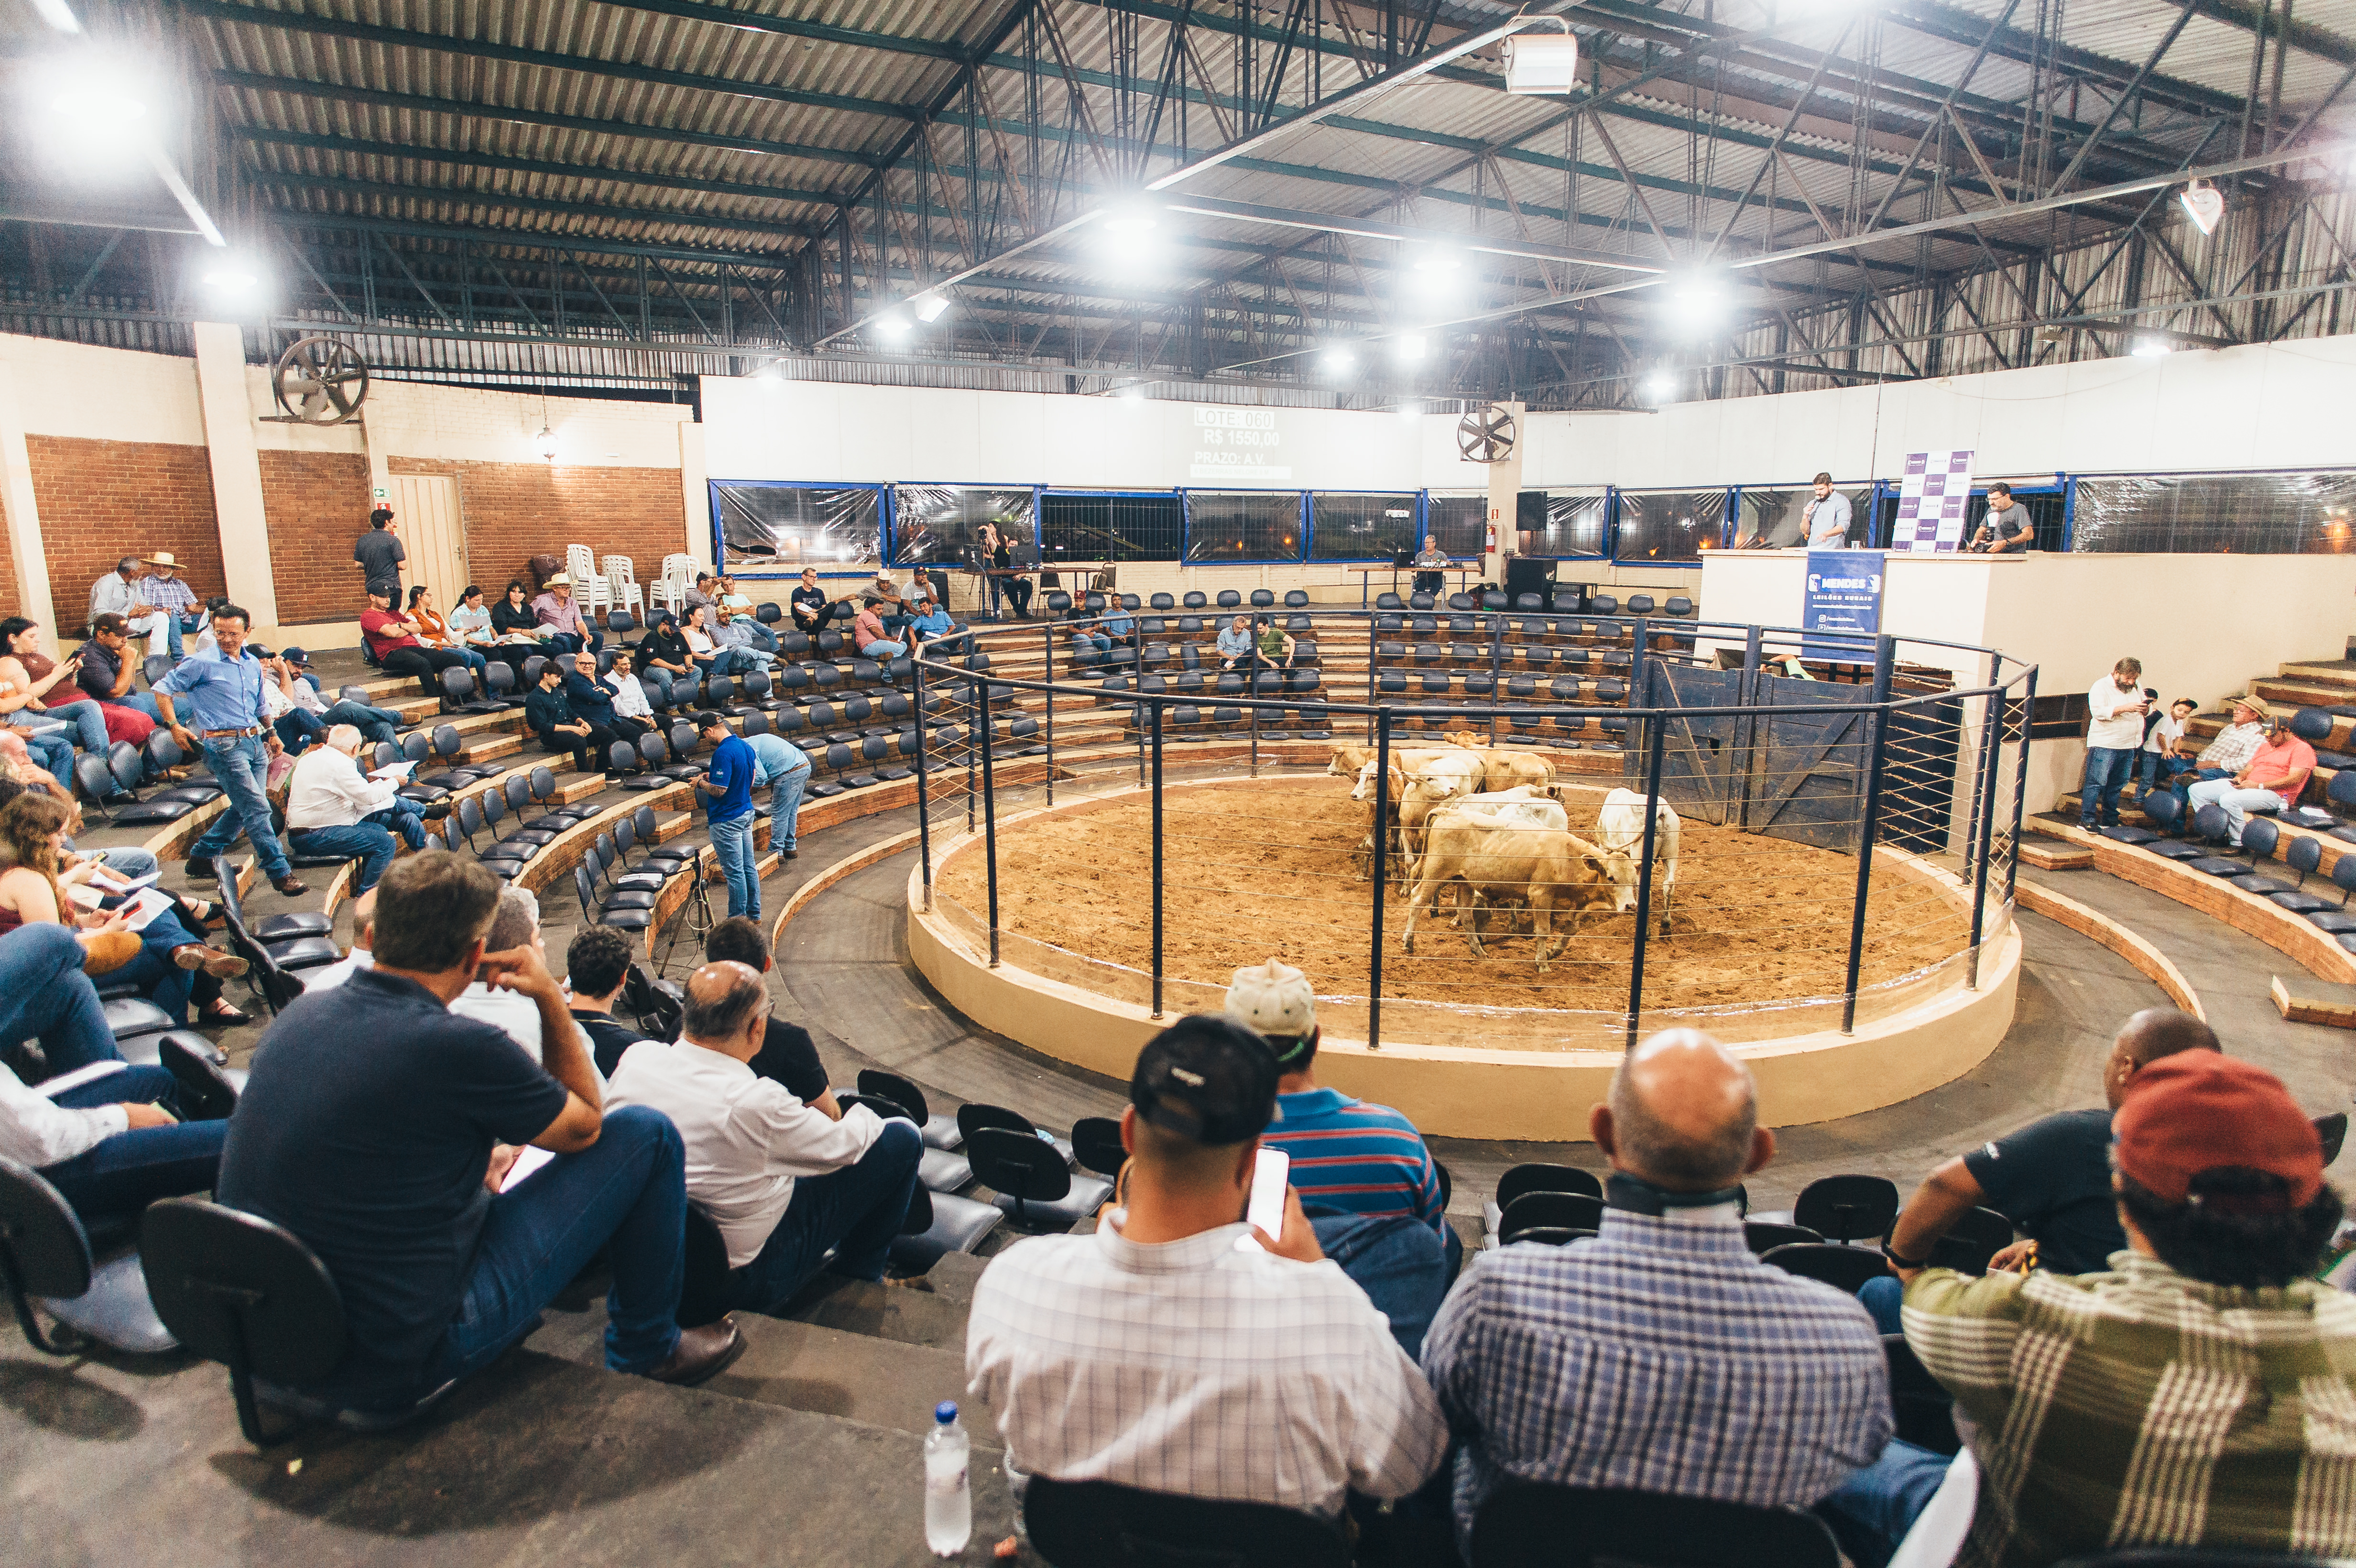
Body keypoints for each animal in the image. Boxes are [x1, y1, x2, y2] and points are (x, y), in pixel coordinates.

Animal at [1395, 810, 1621, 970]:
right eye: (1611, 878)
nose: (1628, 906)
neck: (1565, 855)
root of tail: (1447, 813)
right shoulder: (1540, 895)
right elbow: (1543, 930)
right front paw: (1543, 963)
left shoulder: (1579, 902)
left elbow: (1572, 929)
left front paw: (1554, 952)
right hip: (1436, 871)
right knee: (1418, 899)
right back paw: (1408, 943)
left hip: (1463, 880)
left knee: (1465, 913)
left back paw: (1478, 950)